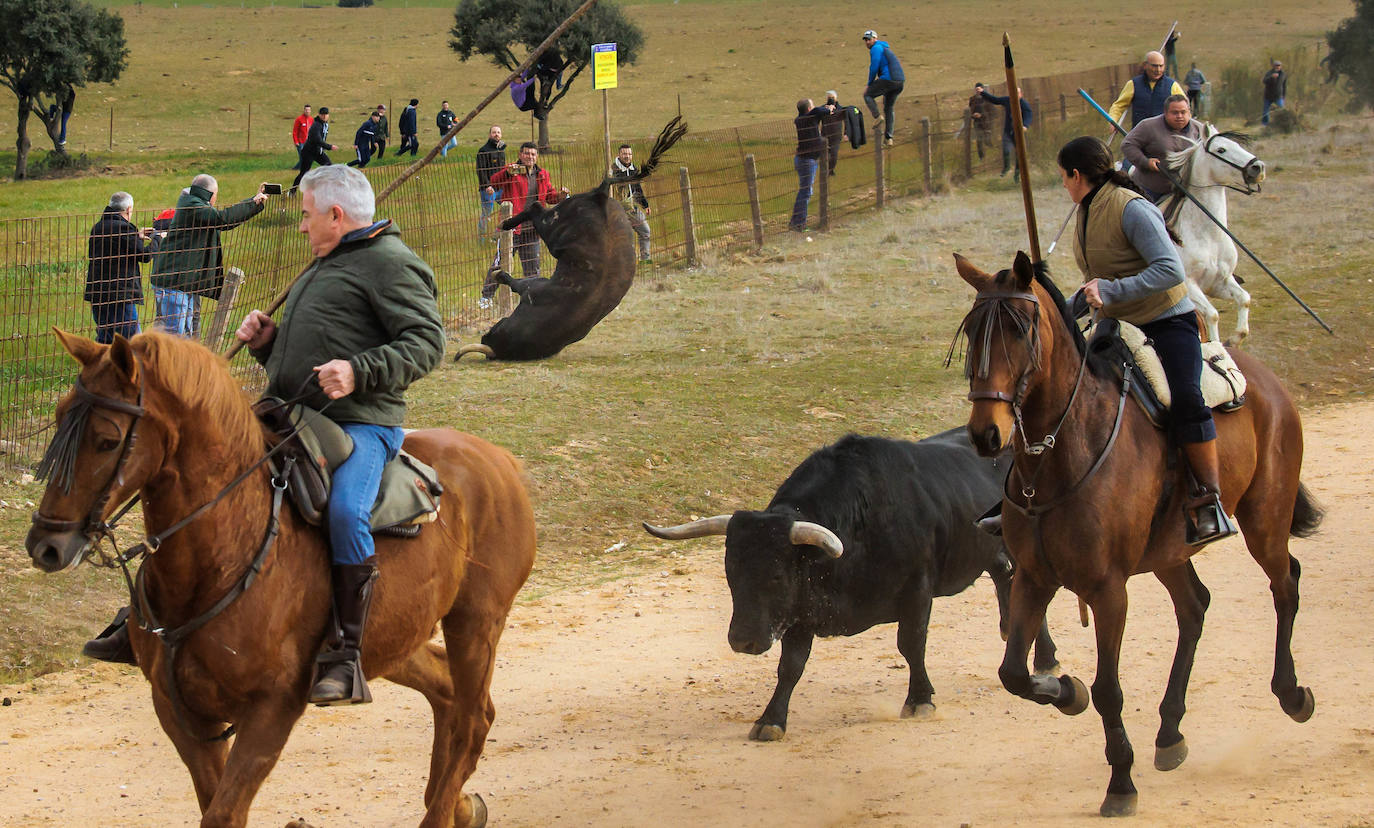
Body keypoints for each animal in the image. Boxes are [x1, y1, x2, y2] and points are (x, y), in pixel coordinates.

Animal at [24, 330, 535, 828]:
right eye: (60, 417)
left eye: (107, 440)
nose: (46, 545)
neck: (222, 557)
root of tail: (499, 460)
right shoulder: (181, 712)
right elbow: (212, 802)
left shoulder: (271, 710)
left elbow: (223, 813)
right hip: (391, 639)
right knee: (446, 691)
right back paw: (459, 807)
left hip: (476, 624)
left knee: (473, 720)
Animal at [458, 116, 687, 362]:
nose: (485, 337)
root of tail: (600, 196)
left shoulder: (532, 287)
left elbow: (513, 280)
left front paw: (498, 273)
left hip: (550, 226)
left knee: (535, 207)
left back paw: (506, 224)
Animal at [645, 431, 1060, 741]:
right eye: (730, 570)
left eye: (776, 574)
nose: (743, 641)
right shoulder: (802, 613)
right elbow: (790, 667)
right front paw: (771, 719)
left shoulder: (917, 590)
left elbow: (911, 645)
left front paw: (920, 699)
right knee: (1006, 583)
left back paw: (1044, 659)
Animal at [956, 255, 1319, 818]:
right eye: (973, 330)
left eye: (1020, 328)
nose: (985, 433)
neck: (1061, 455)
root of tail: (1265, 379)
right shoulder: (1034, 578)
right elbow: (1014, 673)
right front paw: (1067, 691)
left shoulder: (1109, 590)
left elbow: (1109, 689)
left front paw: (1120, 782)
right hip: (1170, 551)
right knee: (1194, 607)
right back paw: (1170, 732)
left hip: (1265, 520)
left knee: (1285, 585)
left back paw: (1292, 694)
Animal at [1165, 121, 1258, 344]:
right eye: (1221, 150)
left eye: (1236, 145)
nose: (1258, 167)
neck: (1208, 236)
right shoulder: (1189, 286)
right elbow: (1212, 314)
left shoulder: (1220, 282)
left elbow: (1244, 298)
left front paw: (1234, 339)